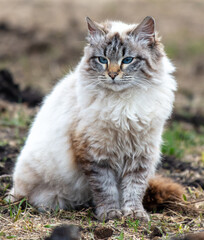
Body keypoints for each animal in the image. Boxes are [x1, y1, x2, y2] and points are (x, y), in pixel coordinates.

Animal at [8, 15, 177, 221]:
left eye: (127, 60)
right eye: (102, 60)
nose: (112, 75)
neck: (123, 105)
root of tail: (13, 190)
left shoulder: (140, 155)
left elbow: (134, 189)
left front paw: (134, 214)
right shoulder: (97, 156)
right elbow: (106, 190)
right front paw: (111, 214)